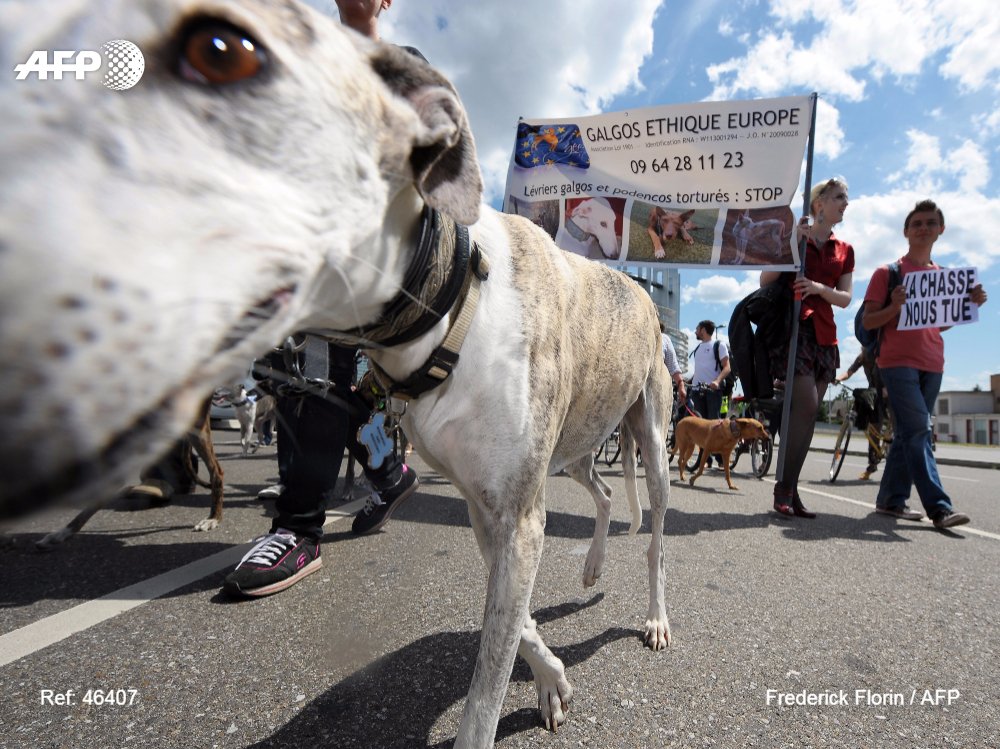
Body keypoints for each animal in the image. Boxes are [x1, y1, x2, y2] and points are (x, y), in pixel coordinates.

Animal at [1, 2, 672, 744]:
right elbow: (515, 621)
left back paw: (654, 616)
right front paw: (550, 675)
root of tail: (643, 294)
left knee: (654, 539)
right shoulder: (486, 506)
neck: (447, 303)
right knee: (604, 494)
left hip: (652, 437)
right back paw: (592, 563)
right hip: (577, 445)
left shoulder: (516, 510)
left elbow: (490, 675)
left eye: (222, 51)